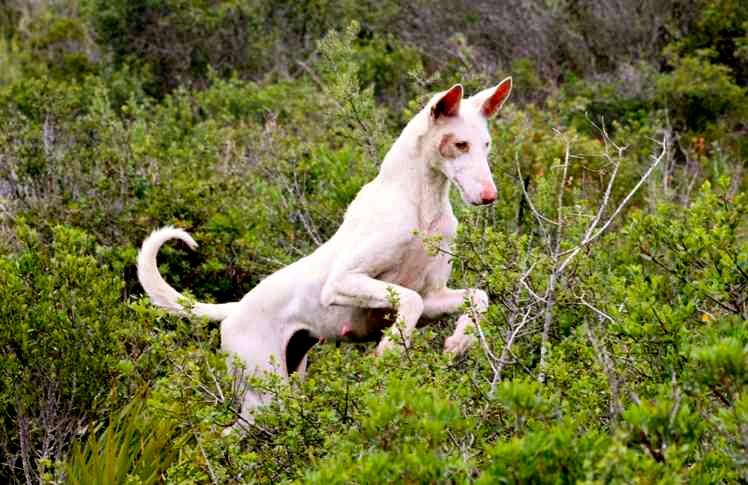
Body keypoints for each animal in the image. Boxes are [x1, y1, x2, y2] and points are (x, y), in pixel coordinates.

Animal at [137, 77, 512, 418]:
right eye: (460, 144)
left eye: (487, 145)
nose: (489, 196)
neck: (422, 206)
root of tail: (235, 309)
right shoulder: (341, 284)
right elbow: (409, 299)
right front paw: (391, 347)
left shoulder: (435, 296)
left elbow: (477, 297)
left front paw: (460, 341)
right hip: (263, 398)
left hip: (289, 378)